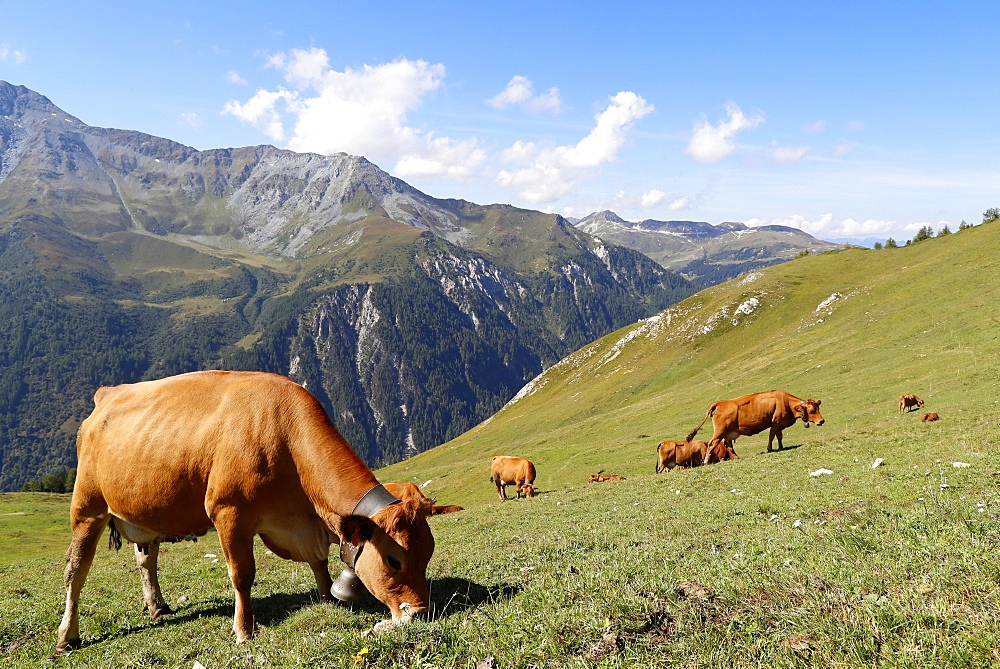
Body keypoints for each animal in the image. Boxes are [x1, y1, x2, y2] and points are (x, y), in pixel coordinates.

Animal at [56, 370, 436, 652]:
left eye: (428, 554)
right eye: (394, 561)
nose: (420, 612)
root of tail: (108, 393)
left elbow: (319, 563)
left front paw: (329, 598)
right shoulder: (230, 512)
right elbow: (242, 575)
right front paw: (243, 631)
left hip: (141, 514)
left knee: (145, 559)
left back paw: (158, 607)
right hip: (87, 507)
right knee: (76, 569)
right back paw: (67, 636)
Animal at [688, 386, 828, 454]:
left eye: (818, 408)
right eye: (811, 410)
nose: (822, 421)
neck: (786, 402)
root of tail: (719, 403)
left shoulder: (779, 425)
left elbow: (779, 436)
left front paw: (781, 447)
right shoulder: (775, 423)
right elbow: (772, 436)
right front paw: (770, 449)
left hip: (728, 433)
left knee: (728, 446)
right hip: (719, 432)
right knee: (712, 444)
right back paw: (706, 462)